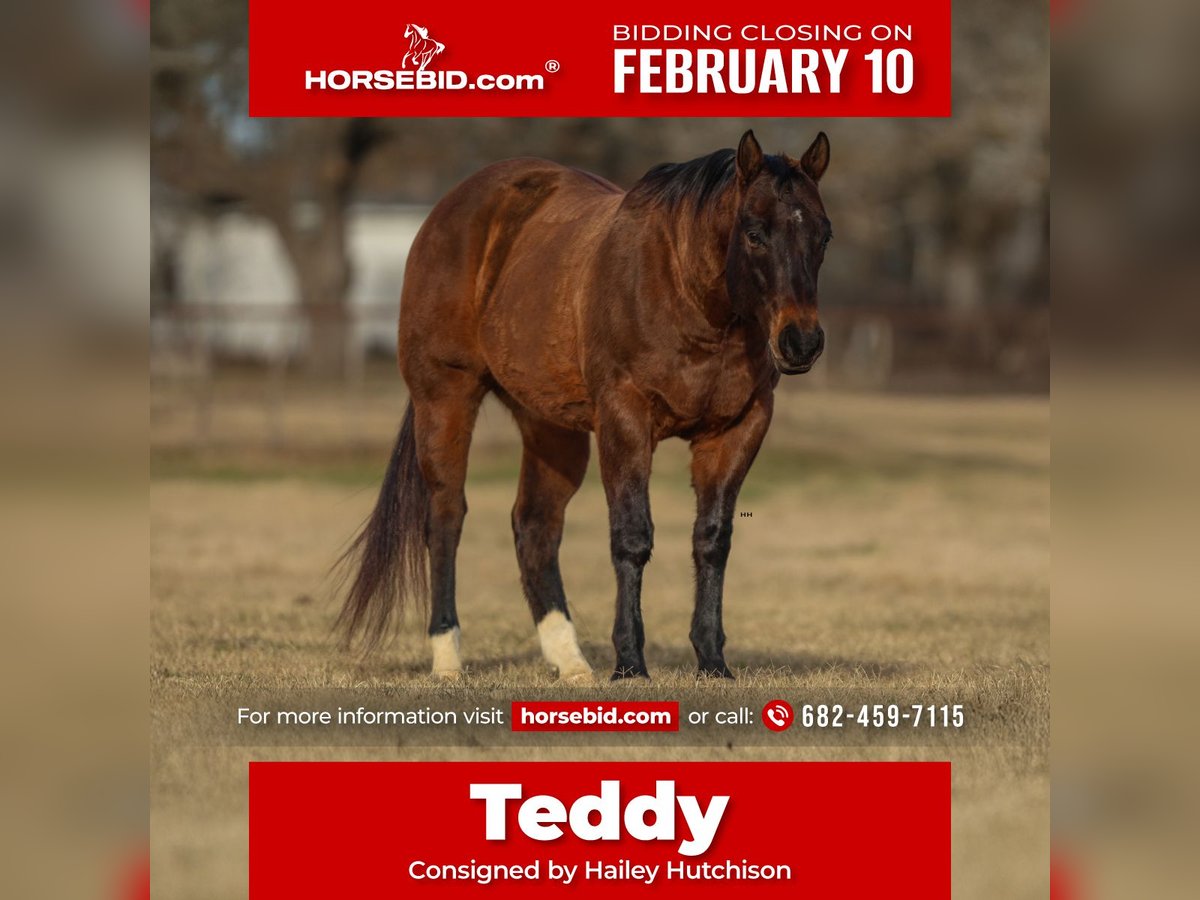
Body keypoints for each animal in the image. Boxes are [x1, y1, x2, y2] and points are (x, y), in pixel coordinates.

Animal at [333, 128, 830, 681]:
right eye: (754, 232)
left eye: (824, 235)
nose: (801, 342)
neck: (685, 292)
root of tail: (448, 211)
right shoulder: (625, 420)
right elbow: (632, 537)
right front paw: (630, 663)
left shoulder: (737, 429)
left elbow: (712, 539)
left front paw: (712, 660)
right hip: (445, 400)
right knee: (445, 518)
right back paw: (447, 658)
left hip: (550, 427)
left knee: (535, 526)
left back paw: (570, 661)